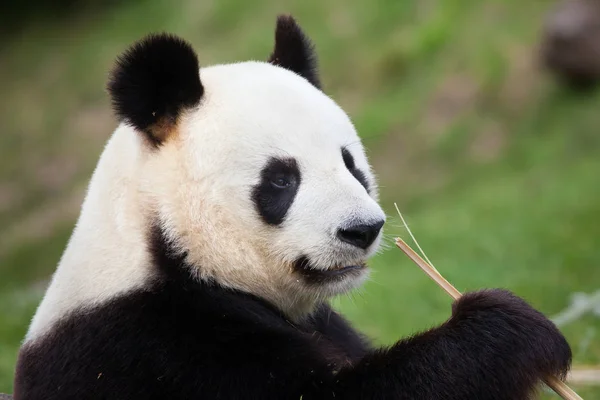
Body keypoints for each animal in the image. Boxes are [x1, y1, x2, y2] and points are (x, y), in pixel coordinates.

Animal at [11, 14, 568, 398]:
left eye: (350, 163)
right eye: (281, 180)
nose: (362, 230)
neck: (165, 250)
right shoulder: (156, 349)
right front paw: (510, 326)